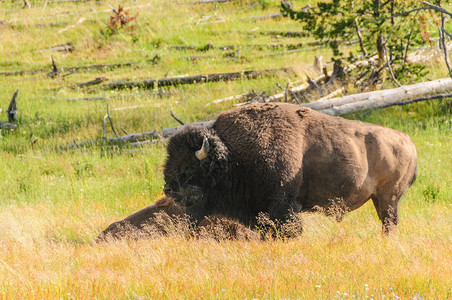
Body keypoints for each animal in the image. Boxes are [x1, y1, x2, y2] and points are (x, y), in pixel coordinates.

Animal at [164, 102, 418, 233]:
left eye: (187, 168)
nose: (168, 189)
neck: (233, 153)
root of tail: (409, 142)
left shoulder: (283, 204)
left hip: (388, 198)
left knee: (389, 223)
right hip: (379, 198)